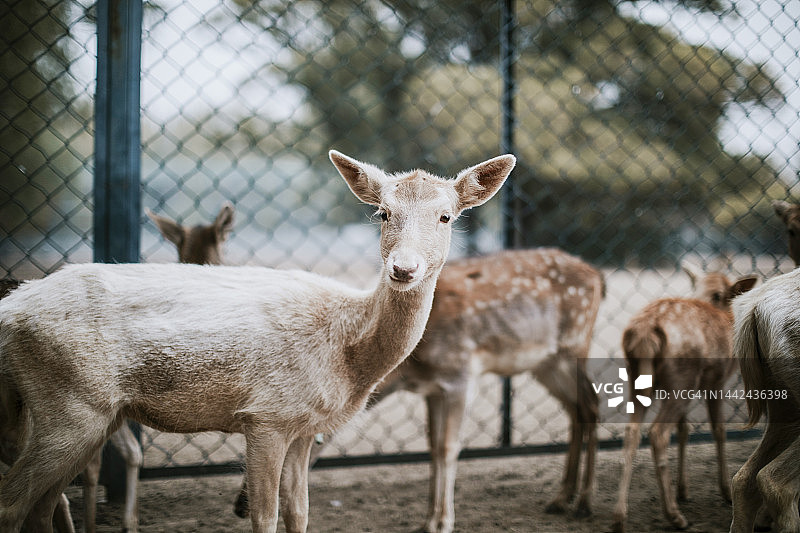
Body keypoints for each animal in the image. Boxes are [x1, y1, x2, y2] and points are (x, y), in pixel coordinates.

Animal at [0, 151, 512, 532]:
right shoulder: (266, 415)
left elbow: (300, 513)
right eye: (382, 212)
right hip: (69, 404)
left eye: (446, 216)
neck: (348, 358)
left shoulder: (304, 426)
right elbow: (265, 518)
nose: (403, 269)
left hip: (77, 413)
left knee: (44, 506)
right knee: (13, 503)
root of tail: (11, 312)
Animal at [612, 268, 756, 528]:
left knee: (632, 431)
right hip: (682, 375)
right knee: (657, 432)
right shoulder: (717, 380)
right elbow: (719, 430)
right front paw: (726, 492)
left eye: (715, 293)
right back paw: (674, 516)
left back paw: (619, 517)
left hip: (640, 378)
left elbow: (684, 430)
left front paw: (683, 490)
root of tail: (645, 333)